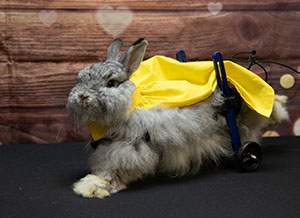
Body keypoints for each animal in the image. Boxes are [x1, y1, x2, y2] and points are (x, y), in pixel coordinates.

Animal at [66, 38, 288, 198]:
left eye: (111, 83)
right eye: (80, 78)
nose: (82, 96)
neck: (131, 102)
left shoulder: (130, 148)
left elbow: (116, 168)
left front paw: (93, 187)